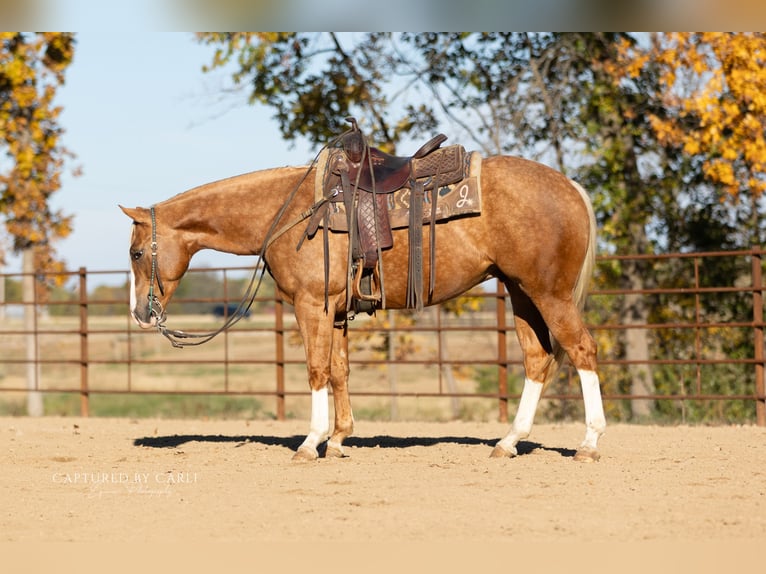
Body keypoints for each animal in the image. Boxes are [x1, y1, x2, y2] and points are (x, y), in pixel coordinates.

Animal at [120, 153, 606, 462]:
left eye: (137, 253)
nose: (141, 314)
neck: (289, 211)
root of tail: (570, 186)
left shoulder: (311, 305)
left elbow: (317, 370)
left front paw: (310, 443)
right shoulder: (335, 311)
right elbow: (339, 370)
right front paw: (338, 440)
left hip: (549, 293)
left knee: (582, 350)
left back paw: (588, 444)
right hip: (521, 292)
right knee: (538, 359)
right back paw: (508, 442)